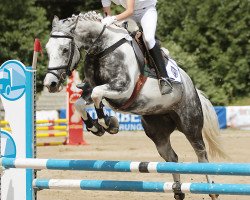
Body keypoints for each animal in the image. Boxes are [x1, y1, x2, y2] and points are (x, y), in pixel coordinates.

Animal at [43, 12, 227, 200]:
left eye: (65, 49)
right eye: (47, 49)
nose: (51, 84)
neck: (103, 47)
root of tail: (192, 88)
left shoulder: (123, 89)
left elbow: (97, 95)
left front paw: (107, 123)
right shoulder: (91, 88)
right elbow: (81, 103)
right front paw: (96, 127)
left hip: (190, 125)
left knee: (201, 154)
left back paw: (211, 190)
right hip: (157, 132)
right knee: (172, 157)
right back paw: (177, 190)